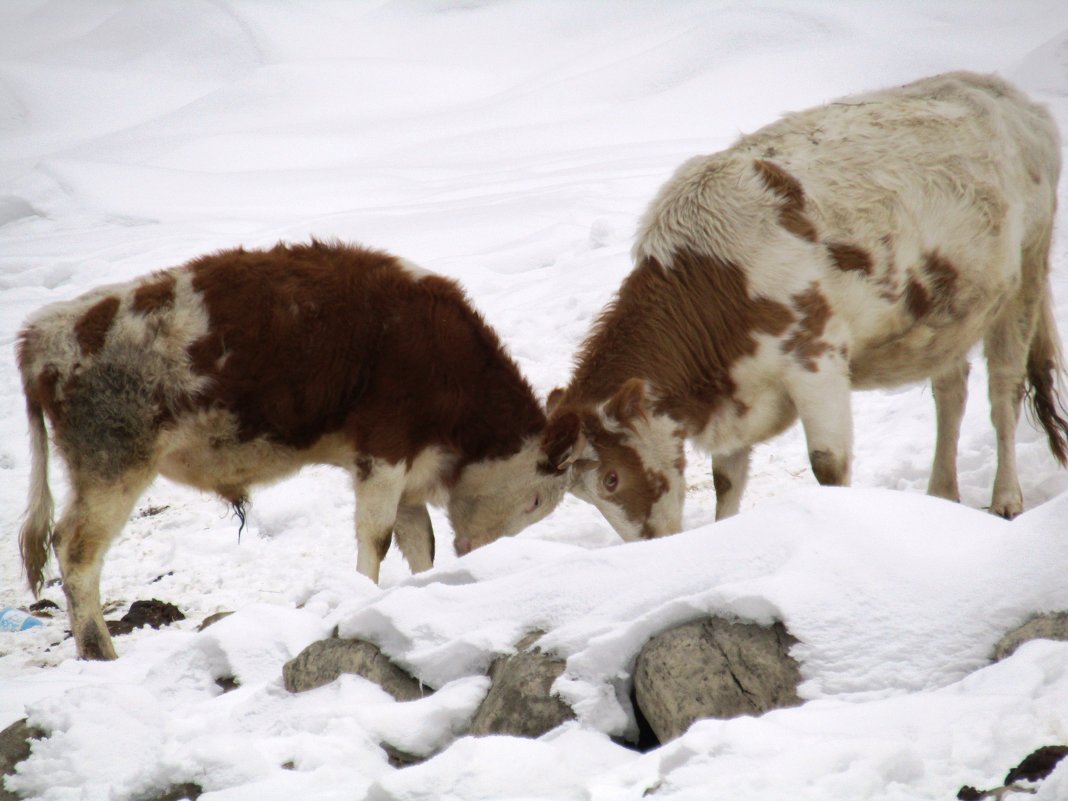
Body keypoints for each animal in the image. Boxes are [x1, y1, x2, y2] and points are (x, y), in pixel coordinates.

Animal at [16, 241, 572, 662]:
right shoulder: (384, 451)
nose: (485, 556)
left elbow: (419, 541)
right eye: (534, 500)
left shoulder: (408, 470)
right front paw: (359, 597)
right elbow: (376, 537)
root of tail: (41, 336)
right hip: (113, 469)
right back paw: (99, 651)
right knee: (77, 549)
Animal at [542, 72, 1068, 542]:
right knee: (951, 392)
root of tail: (1011, 97)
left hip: (1024, 275)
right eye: (583, 493)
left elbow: (828, 466)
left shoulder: (817, 360)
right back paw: (940, 493)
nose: (649, 544)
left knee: (1003, 392)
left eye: (611, 477)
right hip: (949, 315)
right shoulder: (738, 390)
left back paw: (1005, 498)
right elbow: (726, 479)